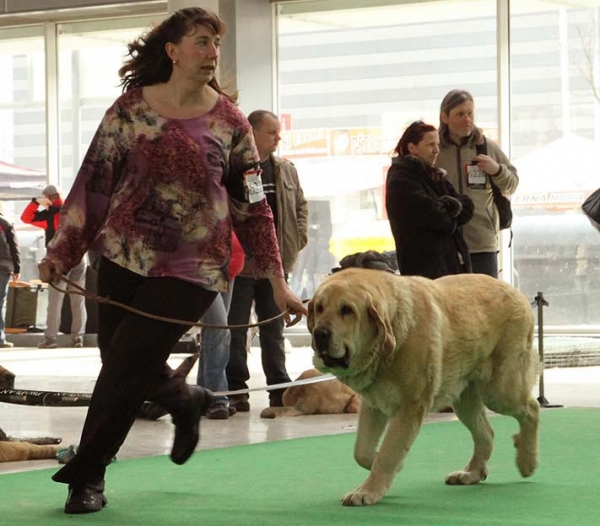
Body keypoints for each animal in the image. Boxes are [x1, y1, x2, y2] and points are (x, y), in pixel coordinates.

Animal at [310, 270, 540, 510]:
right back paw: (472, 473)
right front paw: (382, 467)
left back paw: (526, 460)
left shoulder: (410, 407)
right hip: (464, 401)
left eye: (347, 310)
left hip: (499, 391)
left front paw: (368, 490)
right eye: (319, 308)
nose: (320, 333)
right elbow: (362, 451)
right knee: (486, 433)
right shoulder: (373, 405)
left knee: (531, 409)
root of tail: (516, 292)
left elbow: (388, 453)